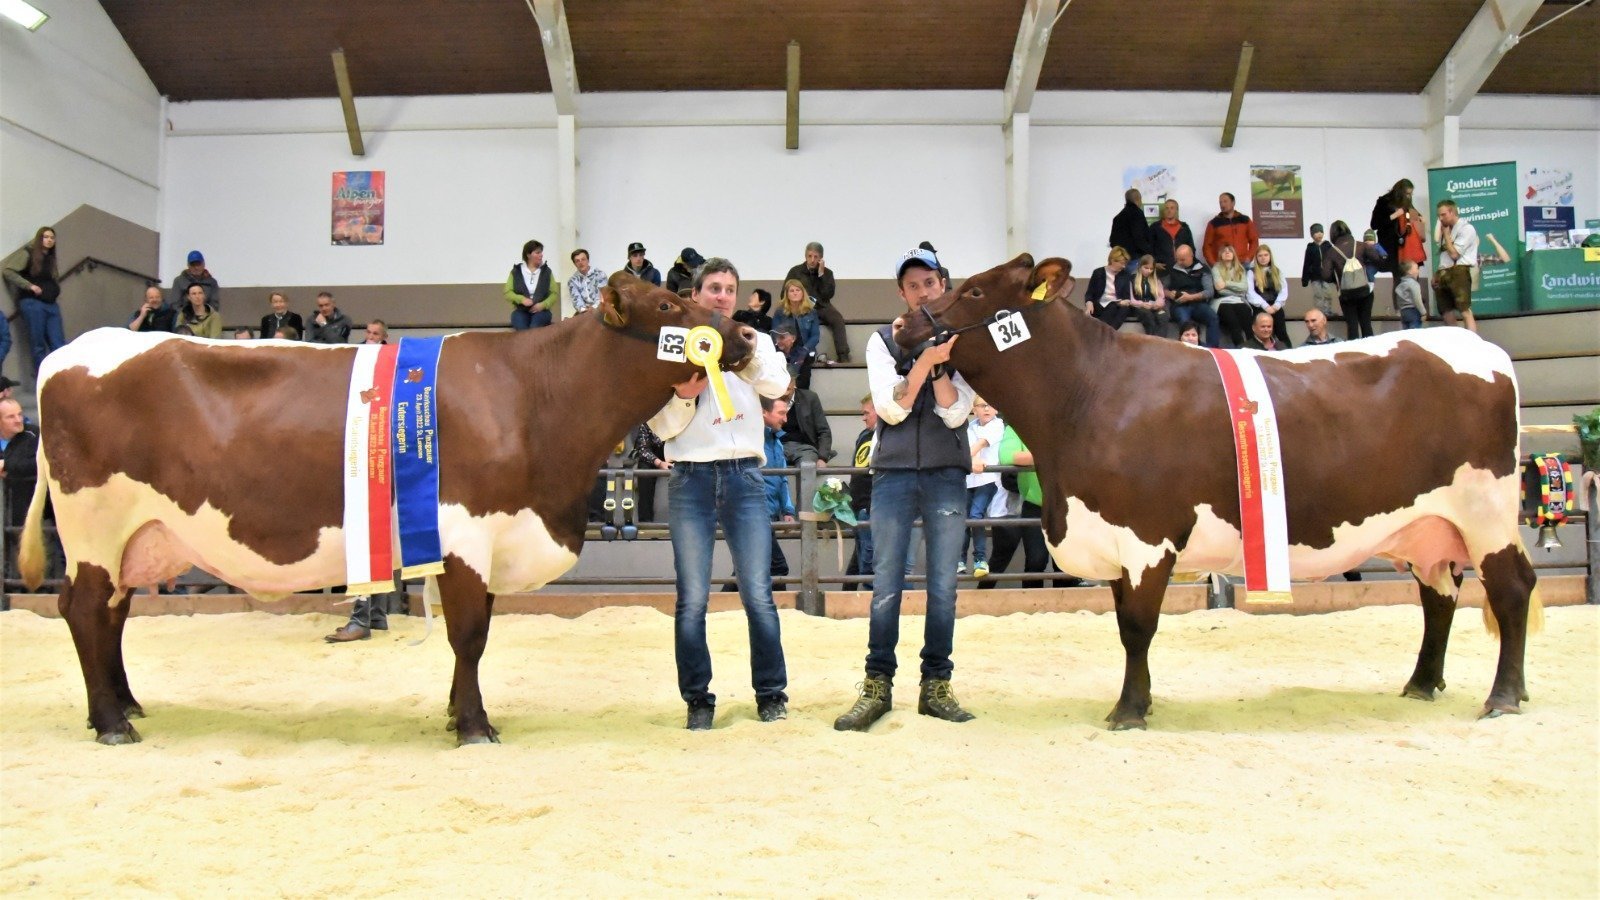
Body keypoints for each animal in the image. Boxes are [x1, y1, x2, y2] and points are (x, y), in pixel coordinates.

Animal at [18, 273, 755, 743]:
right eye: (670, 301)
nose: (745, 336)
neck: (531, 397)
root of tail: (70, 352)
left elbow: (476, 636)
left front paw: (459, 715)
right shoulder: (465, 535)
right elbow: (470, 636)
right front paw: (474, 727)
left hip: (132, 536)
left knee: (112, 616)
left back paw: (126, 706)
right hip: (93, 526)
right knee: (83, 610)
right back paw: (112, 725)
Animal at [902, 253, 1536, 730]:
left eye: (975, 290)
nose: (906, 325)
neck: (1087, 396)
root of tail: (1482, 348)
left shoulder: (1147, 536)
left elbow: (1138, 627)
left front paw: (1129, 711)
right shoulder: (1112, 539)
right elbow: (1125, 624)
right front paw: (1140, 700)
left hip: (1487, 511)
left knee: (1511, 589)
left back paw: (1503, 698)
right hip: (1429, 527)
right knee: (1439, 595)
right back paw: (1422, 684)